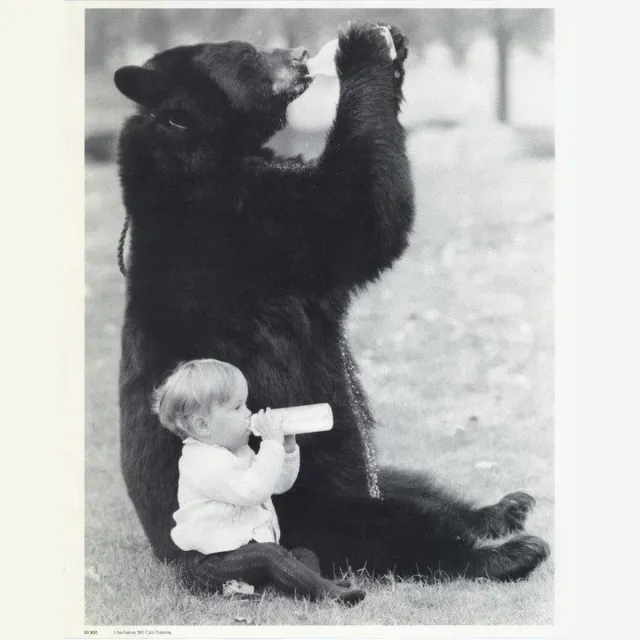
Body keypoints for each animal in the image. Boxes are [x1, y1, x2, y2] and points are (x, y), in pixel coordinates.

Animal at [114, 22, 549, 590]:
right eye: (246, 53)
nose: (300, 54)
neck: (199, 145)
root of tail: (183, 561)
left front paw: (392, 48)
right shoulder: (239, 220)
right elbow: (355, 212)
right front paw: (362, 45)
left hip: (372, 474)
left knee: (420, 488)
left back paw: (503, 508)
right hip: (305, 506)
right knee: (394, 531)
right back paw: (509, 552)